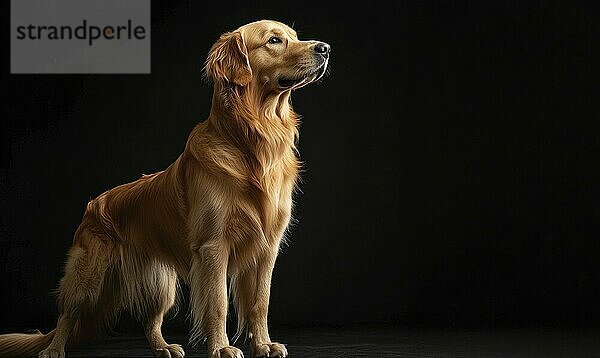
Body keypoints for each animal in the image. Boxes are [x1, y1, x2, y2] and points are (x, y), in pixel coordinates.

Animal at [0, 20, 328, 358]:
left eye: (295, 37)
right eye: (274, 40)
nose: (325, 48)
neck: (255, 138)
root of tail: (96, 203)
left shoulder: (267, 249)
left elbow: (259, 304)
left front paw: (263, 345)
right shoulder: (213, 246)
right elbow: (218, 305)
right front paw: (222, 347)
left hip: (161, 285)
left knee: (150, 322)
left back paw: (164, 347)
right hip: (87, 276)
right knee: (67, 314)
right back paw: (53, 349)